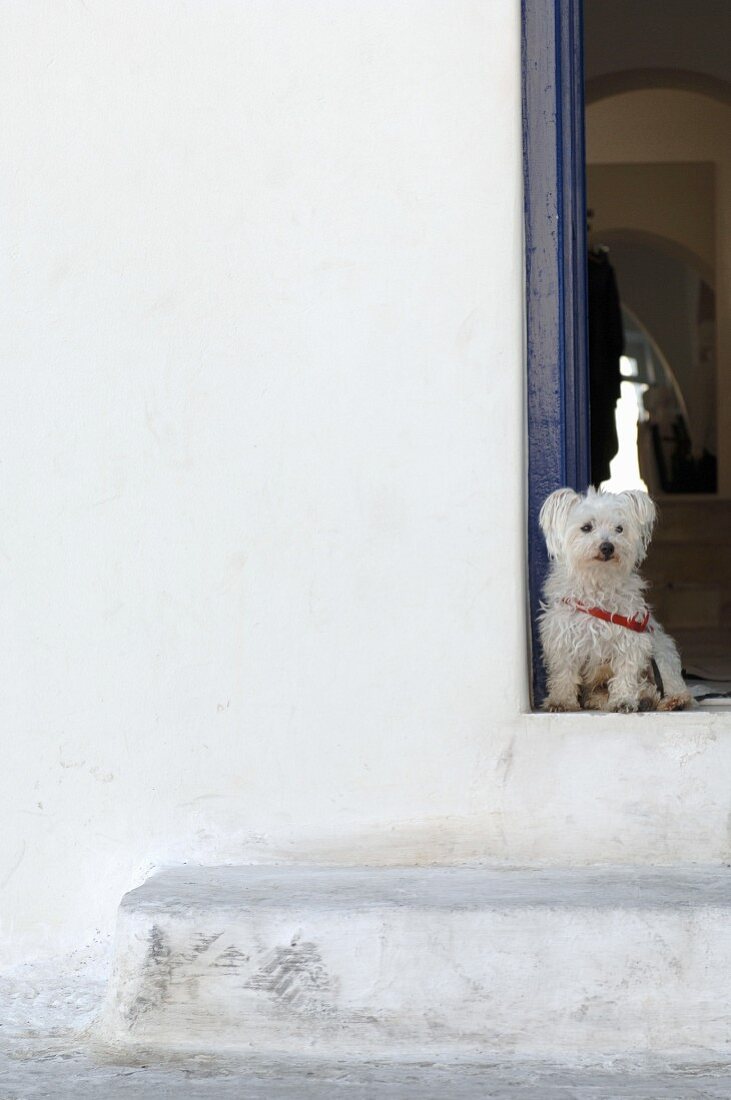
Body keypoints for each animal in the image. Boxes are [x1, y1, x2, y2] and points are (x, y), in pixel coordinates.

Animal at [536, 488, 690, 712]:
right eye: (586, 527)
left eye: (619, 529)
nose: (607, 547)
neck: (598, 582)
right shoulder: (562, 638)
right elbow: (564, 674)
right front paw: (561, 701)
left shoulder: (631, 637)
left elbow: (626, 673)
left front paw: (623, 700)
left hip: (661, 652)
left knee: (667, 681)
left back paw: (671, 700)